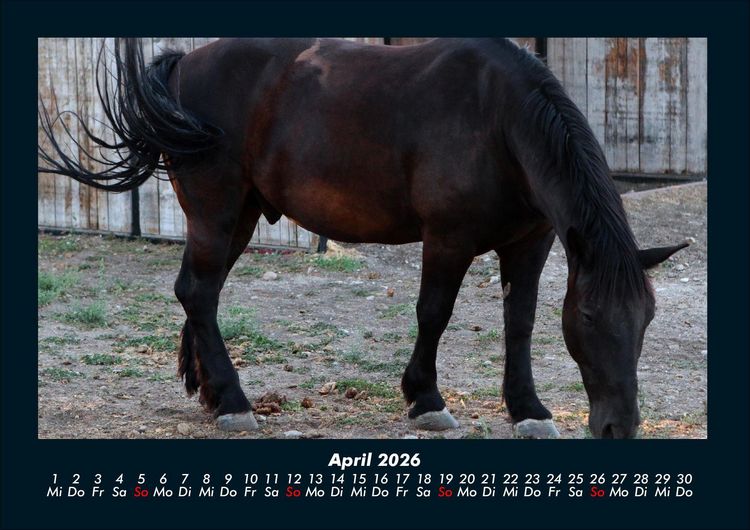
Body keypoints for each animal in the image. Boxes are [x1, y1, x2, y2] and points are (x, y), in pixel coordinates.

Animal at [39, 38, 687, 438]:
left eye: (647, 320)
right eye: (592, 318)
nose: (618, 427)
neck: (499, 119)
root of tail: (181, 67)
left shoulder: (532, 243)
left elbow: (521, 321)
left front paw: (526, 409)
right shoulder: (447, 240)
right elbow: (434, 313)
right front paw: (426, 400)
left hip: (240, 218)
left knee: (200, 292)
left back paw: (210, 391)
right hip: (216, 212)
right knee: (198, 292)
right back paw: (234, 402)